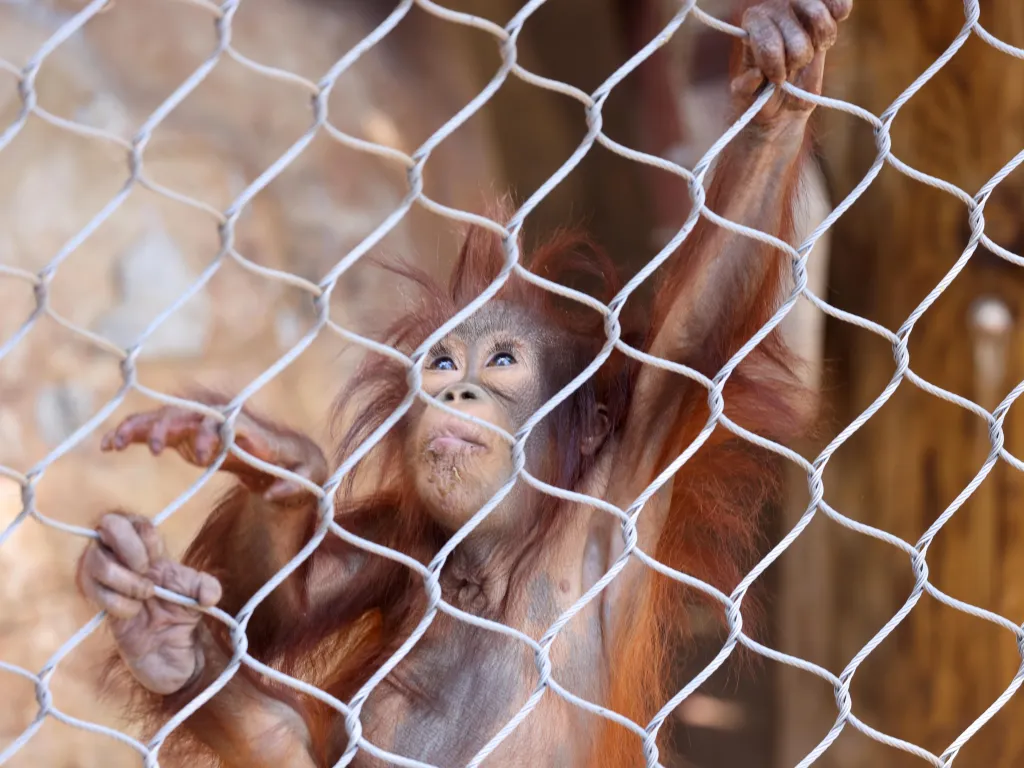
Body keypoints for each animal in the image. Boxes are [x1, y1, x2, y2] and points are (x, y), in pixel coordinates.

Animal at [76, 2, 852, 765]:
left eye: (502, 362)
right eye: (445, 365)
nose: (455, 393)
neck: (494, 560)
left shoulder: (628, 470)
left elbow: (699, 315)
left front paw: (781, 83)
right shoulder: (399, 537)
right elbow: (277, 611)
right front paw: (281, 475)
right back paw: (164, 644)